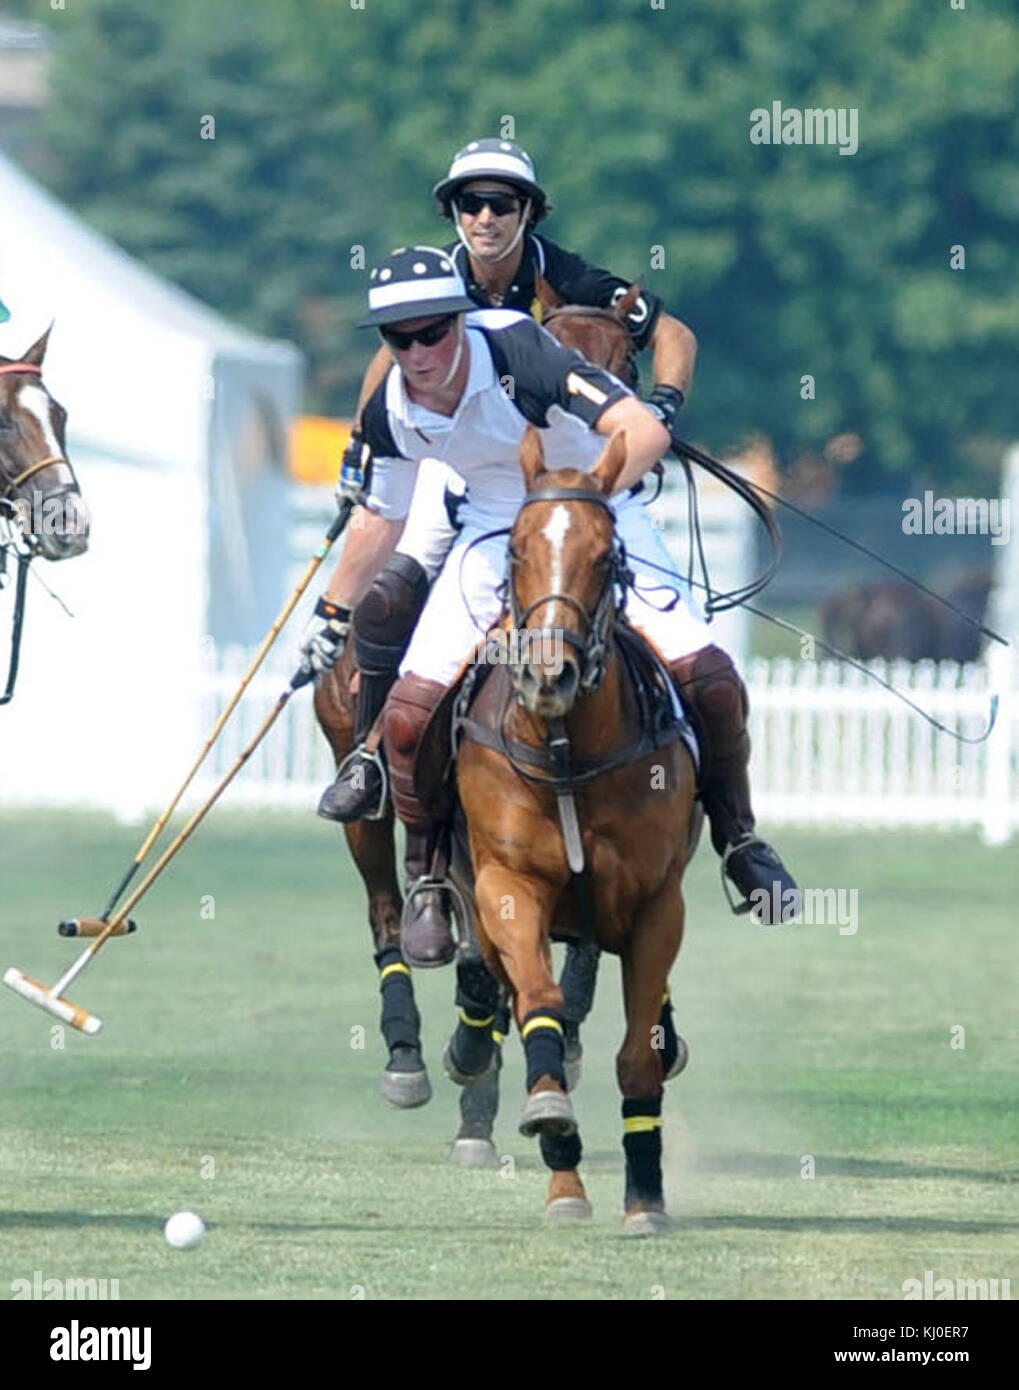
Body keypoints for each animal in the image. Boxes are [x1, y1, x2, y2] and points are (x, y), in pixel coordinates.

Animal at [450, 428, 695, 1234]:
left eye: (604, 555)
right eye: (516, 548)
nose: (547, 675)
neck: (568, 752)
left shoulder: (659, 906)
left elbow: (638, 1055)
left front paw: (645, 1197)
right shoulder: (506, 885)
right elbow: (540, 1006)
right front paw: (555, 1135)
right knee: (496, 988)